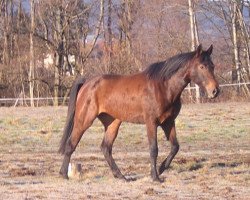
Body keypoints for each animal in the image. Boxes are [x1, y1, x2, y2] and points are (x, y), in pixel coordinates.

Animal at [58, 44, 219, 182]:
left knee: (106, 148)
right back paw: (63, 174)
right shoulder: (151, 122)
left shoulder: (168, 122)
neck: (163, 87)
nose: (215, 91)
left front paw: (160, 169)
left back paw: (121, 176)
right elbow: (153, 149)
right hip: (84, 120)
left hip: (113, 122)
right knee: (71, 144)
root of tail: (87, 82)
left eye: (213, 66)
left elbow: (175, 147)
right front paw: (155, 177)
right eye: (202, 66)